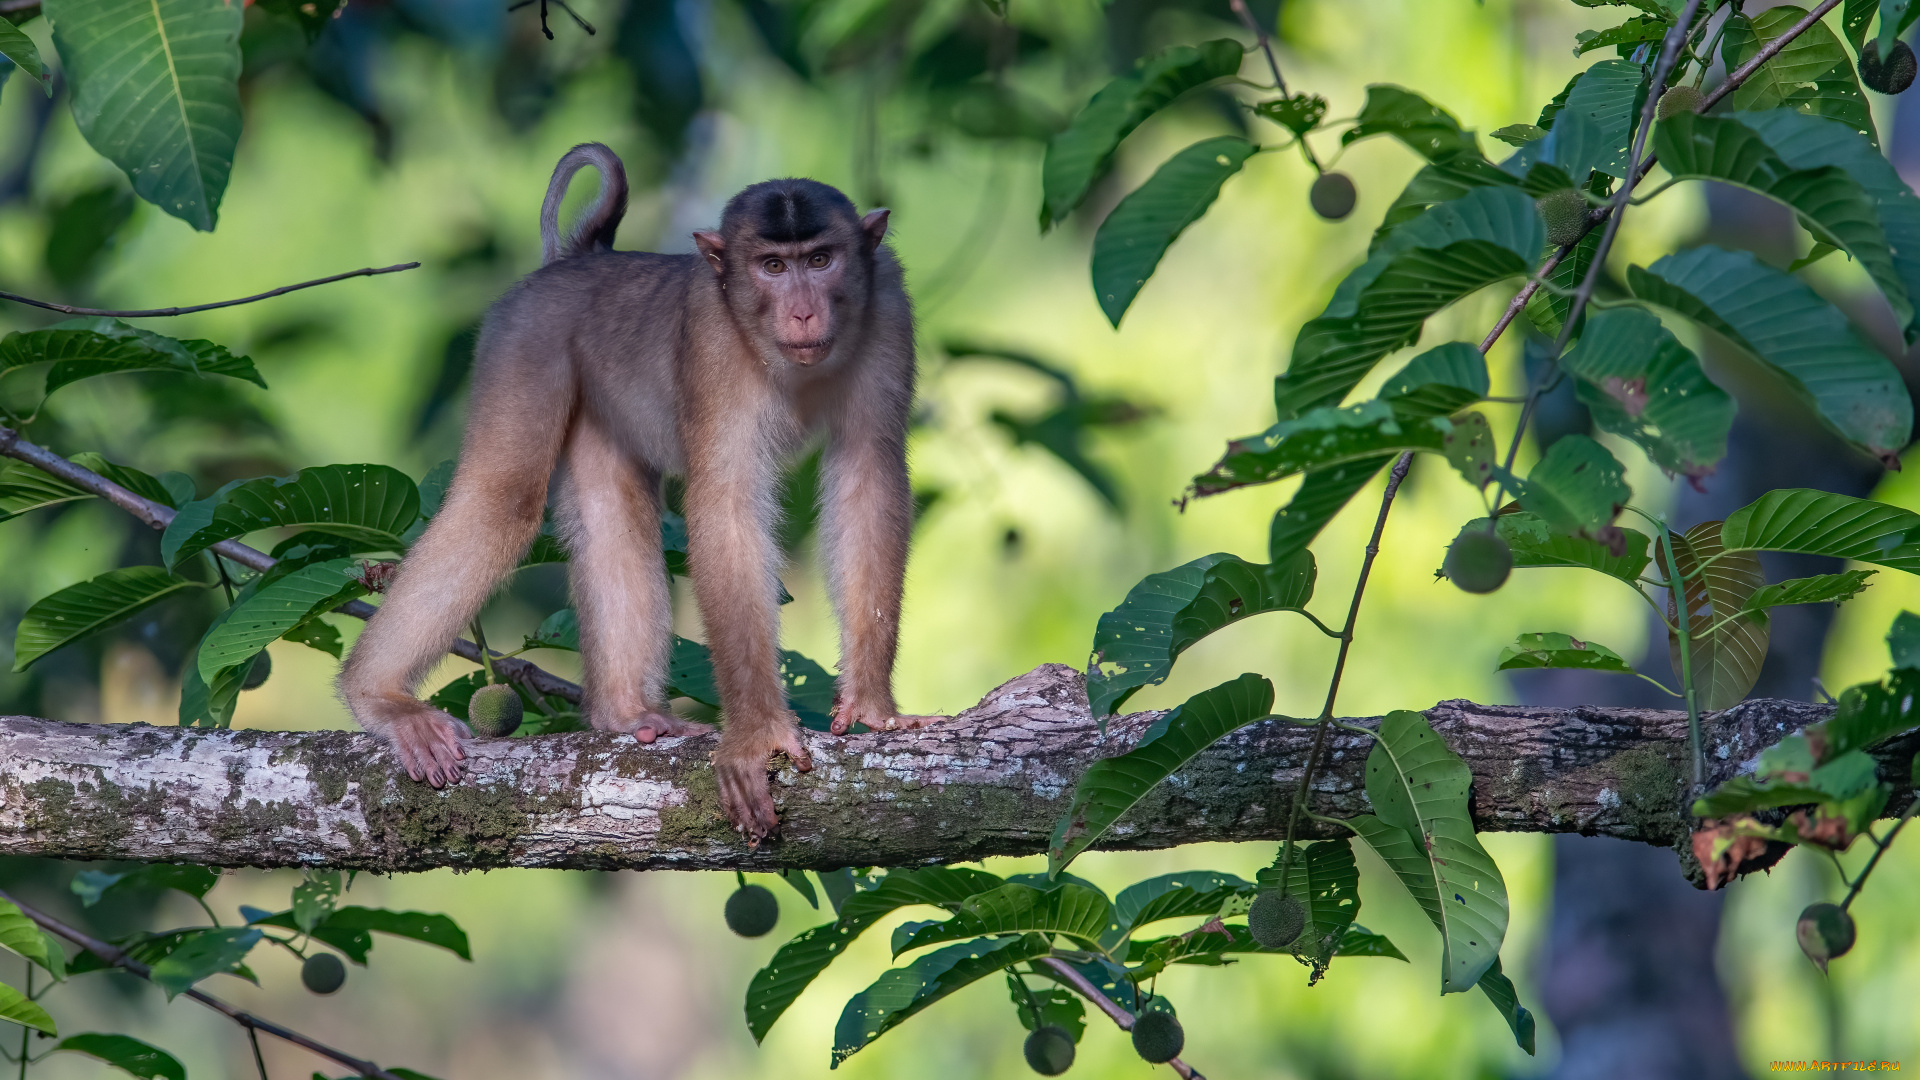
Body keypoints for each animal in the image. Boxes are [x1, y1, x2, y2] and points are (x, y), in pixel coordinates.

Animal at [345, 141, 944, 834]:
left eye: (820, 260)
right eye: (772, 266)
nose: (803, 311)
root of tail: (582, 259)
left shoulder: (889, 309)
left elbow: (869, 481)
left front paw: (872, 706)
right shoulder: (712, 338)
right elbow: (726, 505)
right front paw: (757, 735)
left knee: (612, 513)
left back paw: (624, 712)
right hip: (526, 338)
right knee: (503, 499)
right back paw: (380, 698)